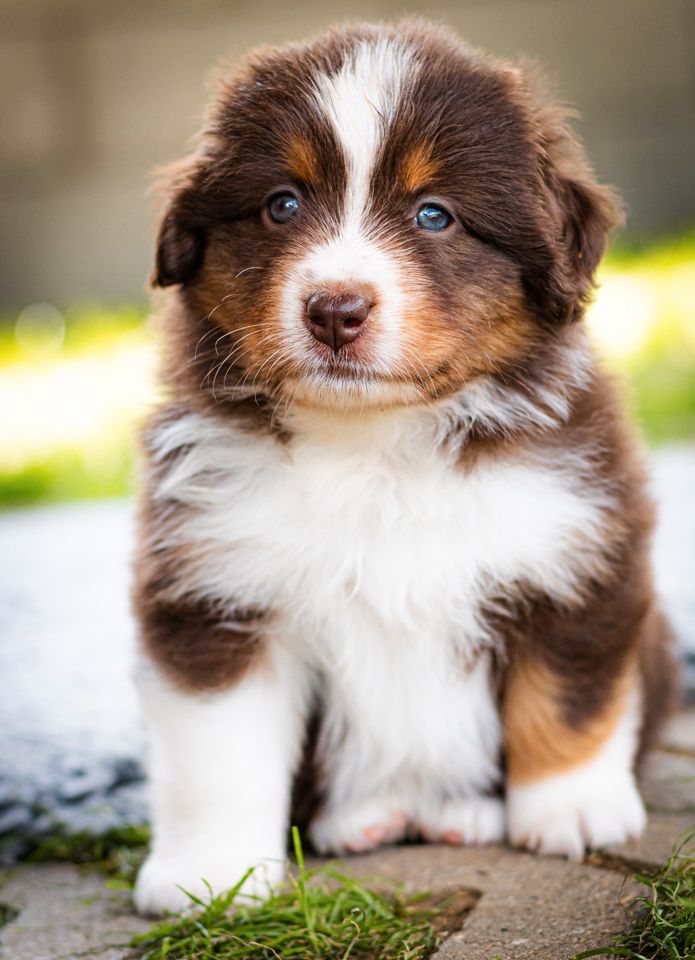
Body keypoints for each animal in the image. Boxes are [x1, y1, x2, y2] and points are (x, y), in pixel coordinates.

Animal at [130, 16, 680, 916]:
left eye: (434, 215)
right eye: (281, 204)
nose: (335, 309)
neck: (376, 446)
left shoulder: (577, 553)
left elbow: (567, 697)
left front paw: (570, 810)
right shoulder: (215, 588)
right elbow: (218, 753)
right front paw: (208, 875)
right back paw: (368, 819)